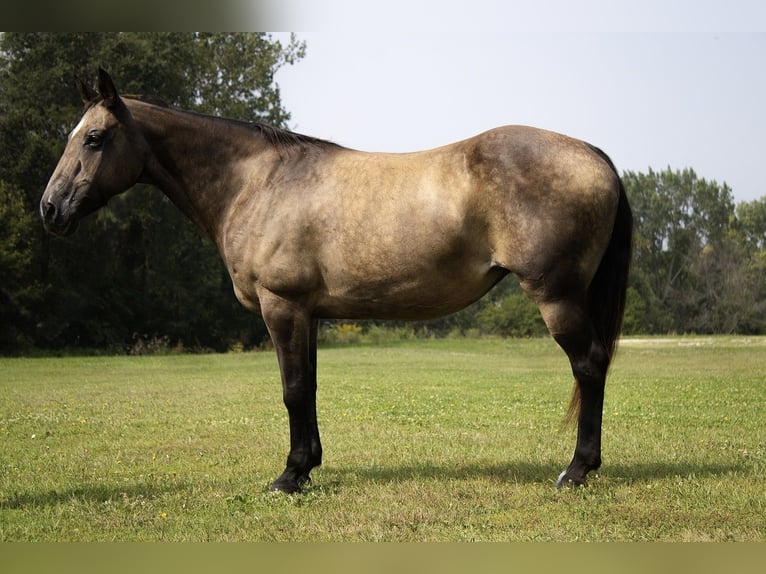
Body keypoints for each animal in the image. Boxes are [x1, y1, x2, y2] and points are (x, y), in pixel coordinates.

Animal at [41, 69, 632, 493]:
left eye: (94, 137)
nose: (50, 209)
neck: (255, 183)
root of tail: (594, 154)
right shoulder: (308, 314)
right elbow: (309, 388)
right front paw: (308, 466)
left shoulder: (282, 307)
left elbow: (292, 390)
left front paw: (288, 477)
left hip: (556, 296)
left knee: (588, 366)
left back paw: (576, 471)